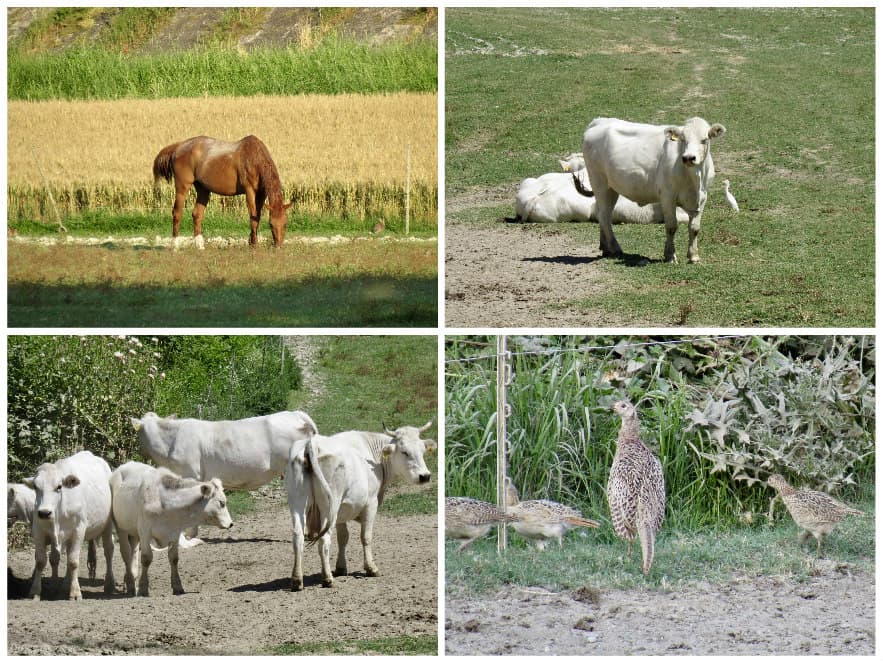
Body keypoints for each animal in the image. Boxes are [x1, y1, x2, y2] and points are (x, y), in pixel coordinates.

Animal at [23, 452, 115, 600]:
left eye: (59, 487)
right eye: (36, 487)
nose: (44, 512)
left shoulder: (78, 530)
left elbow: (73, 561)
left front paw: (75, 593)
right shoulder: (39, 530)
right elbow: (42, 561)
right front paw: (36, 591)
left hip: (108, 524)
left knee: (108, 550)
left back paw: (109, 585)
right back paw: (65, 585)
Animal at [109, 462, 235, 596]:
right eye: (222, 503)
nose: (231, 523)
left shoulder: (175, 533)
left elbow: (174, 559)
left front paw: (177, 586)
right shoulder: (145, 532)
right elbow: (146, 558)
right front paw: (143, 588)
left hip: (134, 532)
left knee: (133, 552)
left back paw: (131, 580)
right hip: (121, 527)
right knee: (126, 553)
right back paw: (130, 584)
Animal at [151, 135, 290, 246]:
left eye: (285, 223)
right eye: (271, 224)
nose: (278, 245)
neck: (254, 158)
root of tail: (178, 147)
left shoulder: (261, 194)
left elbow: (257, 217)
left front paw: (252, 241)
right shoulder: (249, 191)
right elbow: (253, 217)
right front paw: (253, 244)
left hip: (203, 189)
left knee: (197, 214)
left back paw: (199, 245)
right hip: (182, 187)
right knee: (177, 213)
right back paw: (175, 245)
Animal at [286, 422, 436, 588]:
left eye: (422, 450)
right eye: (404, 452)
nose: (425, 476)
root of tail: (311, 444)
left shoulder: (341, 512)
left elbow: (343, 538)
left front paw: (341, 567)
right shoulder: (371, 503)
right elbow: (366, 536)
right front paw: (371, 568)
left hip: (299, 503)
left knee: (298, 537)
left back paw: (297, 580)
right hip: (329, 506)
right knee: (324, 539)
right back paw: (327, 578)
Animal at [576, 115, 728, 264]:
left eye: (704, 140)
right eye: (683, 139)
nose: (689, 158)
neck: (694, 179)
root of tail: (599, 121)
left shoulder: (702, 197)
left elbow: (695, 228)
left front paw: (693, 256)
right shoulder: (667, 196)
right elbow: (671, 226)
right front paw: (670, 255)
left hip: (611, 188)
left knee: (604, 213)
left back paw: (605, 247)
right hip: (598, 181)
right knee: (604, 216)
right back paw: (615, 248)